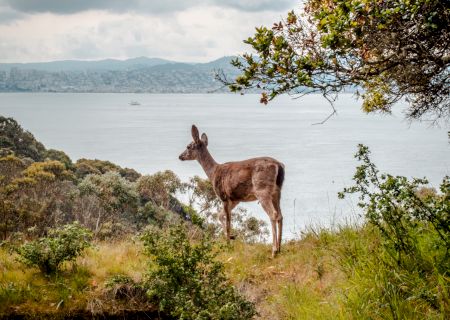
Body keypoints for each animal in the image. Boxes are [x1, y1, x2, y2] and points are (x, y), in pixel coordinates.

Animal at [179, 125, 284, 258]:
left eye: (188, 146)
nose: (180, 156)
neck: (213, 172)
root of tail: (278, 166)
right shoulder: (235, 200)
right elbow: (220, 215)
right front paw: (232, 237)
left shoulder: (223, 196)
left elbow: (228, 221)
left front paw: (228, 244)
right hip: (277, 192)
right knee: (280, 215)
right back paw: (280, 248)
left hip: (262, 189)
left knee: (273, 214)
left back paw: (274, 251)